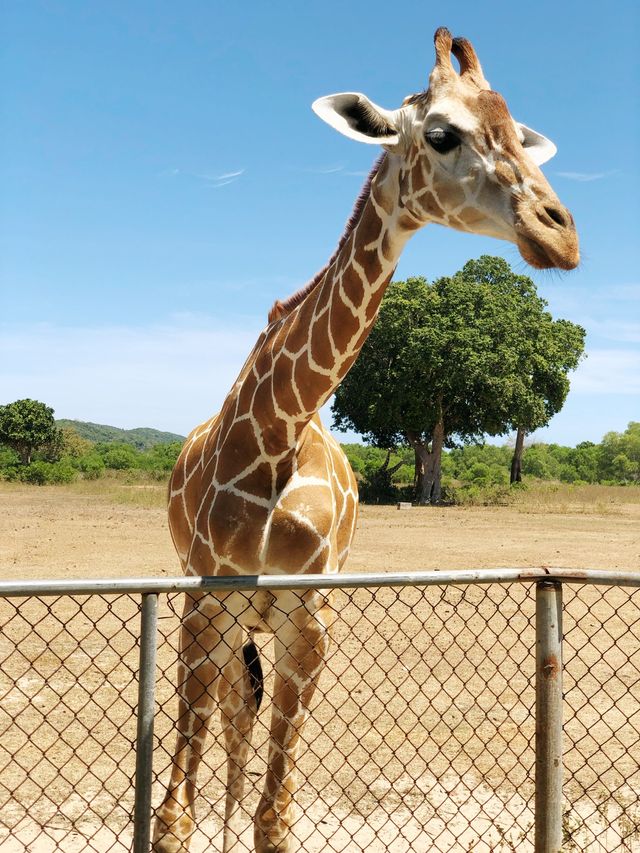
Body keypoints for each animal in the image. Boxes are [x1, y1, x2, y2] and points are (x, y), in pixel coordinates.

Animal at [152, 26, 576, 852]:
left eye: (520, 135)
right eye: (441, 133)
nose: (559, 233)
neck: (279, 427)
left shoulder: (306, 619)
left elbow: (276, 816)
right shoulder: (204, 605)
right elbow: (170, 814)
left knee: (242, 732)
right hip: (218, 622)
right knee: (225, 725)